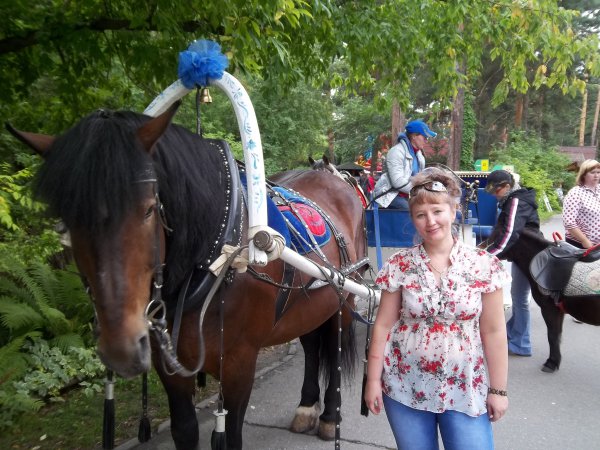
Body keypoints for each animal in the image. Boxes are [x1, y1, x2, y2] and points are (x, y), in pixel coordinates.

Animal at [8, 102, 368, 449]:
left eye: (149, 209)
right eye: (65, 220)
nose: (121, 349)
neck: (217, 257)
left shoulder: (239, 363)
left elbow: (231, 436)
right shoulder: (169, 364)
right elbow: (184, 431)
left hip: (343, 300)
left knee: (334, 346)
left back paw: (330, 416)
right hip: (311, 304)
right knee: (311, 346)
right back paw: (307, 407)